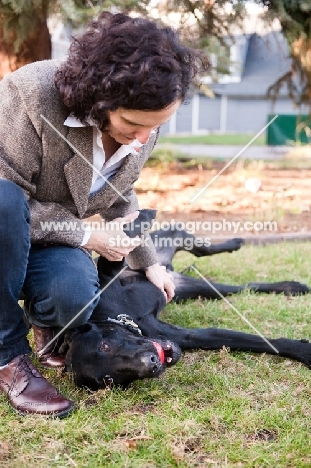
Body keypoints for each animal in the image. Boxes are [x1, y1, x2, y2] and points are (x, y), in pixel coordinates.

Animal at [62, 210, 310, 390]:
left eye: (106, 345)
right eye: (110, 380)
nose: (152, 365)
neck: (117, 316)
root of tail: (170, 269)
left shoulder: (109, 272)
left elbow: (116, 244)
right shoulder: (191, 337)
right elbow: (255, 342)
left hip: (166, 245)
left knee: (194, 244)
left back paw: (233, 243)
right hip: (194, 288)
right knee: (242, 287)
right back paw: (289, 287)